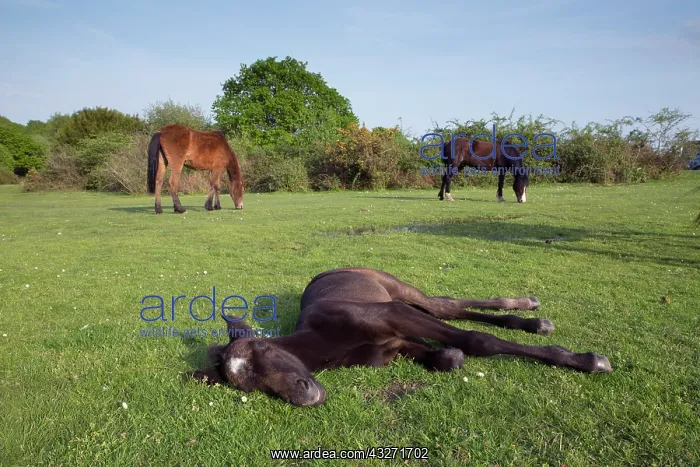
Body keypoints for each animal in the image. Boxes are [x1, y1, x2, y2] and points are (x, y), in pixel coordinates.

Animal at [188, 267, 612, 406]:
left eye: (263, 347)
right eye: (250, 385)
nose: (303, 395)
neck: (328, 345)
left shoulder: (395, 314)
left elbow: (478, 341)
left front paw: (586, 360)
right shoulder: (396, 345)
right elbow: (447, 356)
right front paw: (448, 355)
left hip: (398, 291)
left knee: (446, 305)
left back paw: (528, 309)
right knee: (449, 310)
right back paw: (532, 321)